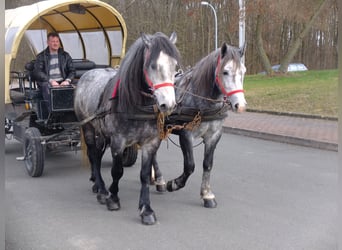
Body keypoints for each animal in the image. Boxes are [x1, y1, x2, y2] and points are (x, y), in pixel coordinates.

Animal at [74, 31, 180, 225]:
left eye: (175, 66)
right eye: (152, 65)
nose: (168, 104)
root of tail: (87, 74)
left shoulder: (150, 142)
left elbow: (144, 175)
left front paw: (146, 209)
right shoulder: (118, 141)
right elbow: (117, 171)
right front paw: (113, 198)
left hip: (102, 133)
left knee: (97, 156)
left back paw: (97, 184)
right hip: (88, 127)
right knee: (93, 154)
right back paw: (101, 189)